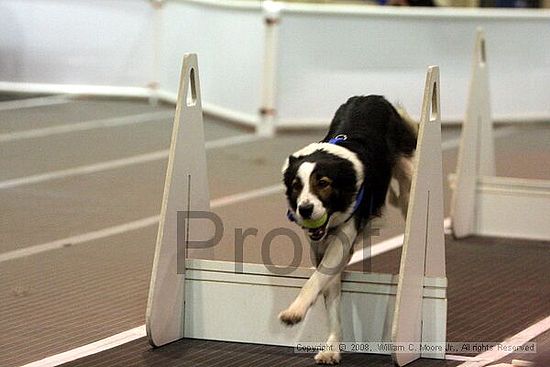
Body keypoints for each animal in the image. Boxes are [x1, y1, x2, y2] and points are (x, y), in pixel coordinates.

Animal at [280, 95, 418, 366]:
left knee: (407, 193)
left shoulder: (343, 235)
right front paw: (332, 347)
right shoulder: (321, 244)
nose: (305, 209)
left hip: (406, 167)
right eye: (296, 186)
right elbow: (329, 289)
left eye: (323, 183)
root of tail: (371, 96)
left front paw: (295, 311)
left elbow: (315, 280)